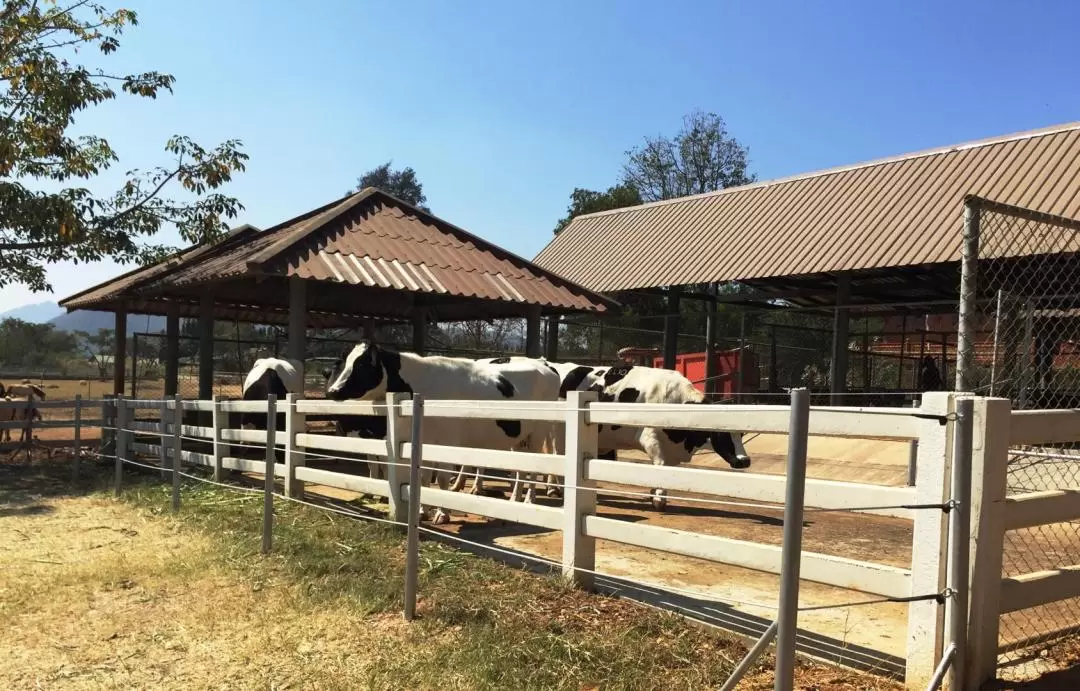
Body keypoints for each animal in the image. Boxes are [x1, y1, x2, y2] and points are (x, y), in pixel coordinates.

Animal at [324, 341, 561, 522]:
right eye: (342, 363)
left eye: (362, 364)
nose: (332, 391)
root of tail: (544, 365)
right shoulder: (424, 441)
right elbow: (424, 478)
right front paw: (422, 511)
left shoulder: (448, 441)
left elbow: (442, 479)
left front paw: (442, 513)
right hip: (518, 435)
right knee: (521, 466)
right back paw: (515, 499)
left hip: (539, 431)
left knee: (534, 465)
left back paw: (529, 500)